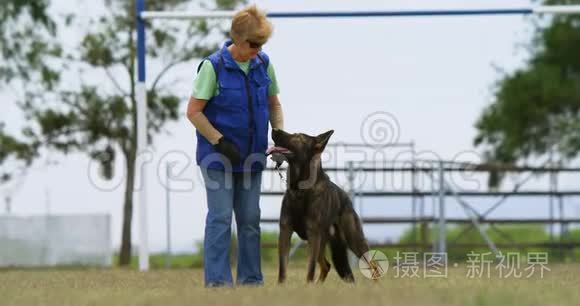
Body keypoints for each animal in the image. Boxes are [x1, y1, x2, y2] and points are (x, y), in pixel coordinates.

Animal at [268, 128, 380, 284]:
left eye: (298, 137)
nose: (274, 129)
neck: (301, 190)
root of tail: (346, 199)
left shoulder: (313, 235)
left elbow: (310, 270)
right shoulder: (286, 232)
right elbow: (283, 269)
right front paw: (281, 287)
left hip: (354, 240)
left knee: (373, 265)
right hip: (320, 243)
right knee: (326, 265)